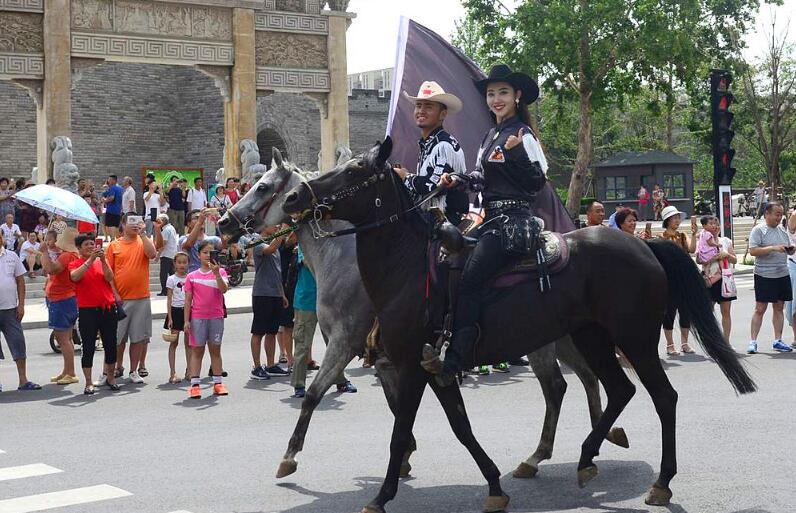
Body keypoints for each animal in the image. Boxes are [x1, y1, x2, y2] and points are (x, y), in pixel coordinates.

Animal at [217, 147, 629, 484]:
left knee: (560, 386)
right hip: (562, 335)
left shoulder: (346, 343)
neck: (350, 261)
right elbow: (394, 404)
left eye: (263, 187)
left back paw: (561, 451)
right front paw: (405, 456)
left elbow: (315, 395)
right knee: (586, 378)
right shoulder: (385, 358)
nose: (224, 222)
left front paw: (289, 457)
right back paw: (593, 440)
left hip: (543, 340)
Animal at [281, 138, 757, 513]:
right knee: (619, 389)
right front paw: (494, 485)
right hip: (591, 336)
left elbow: (401, 434)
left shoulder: (413, 366)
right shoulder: (435, 368)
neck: (409, 269)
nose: (294, 198)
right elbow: (460, 427)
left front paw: (381, 496)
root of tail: (645, 244)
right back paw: (585, 459)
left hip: (633, 339)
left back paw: (659, 481)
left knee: (662, 397)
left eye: (353, 170)